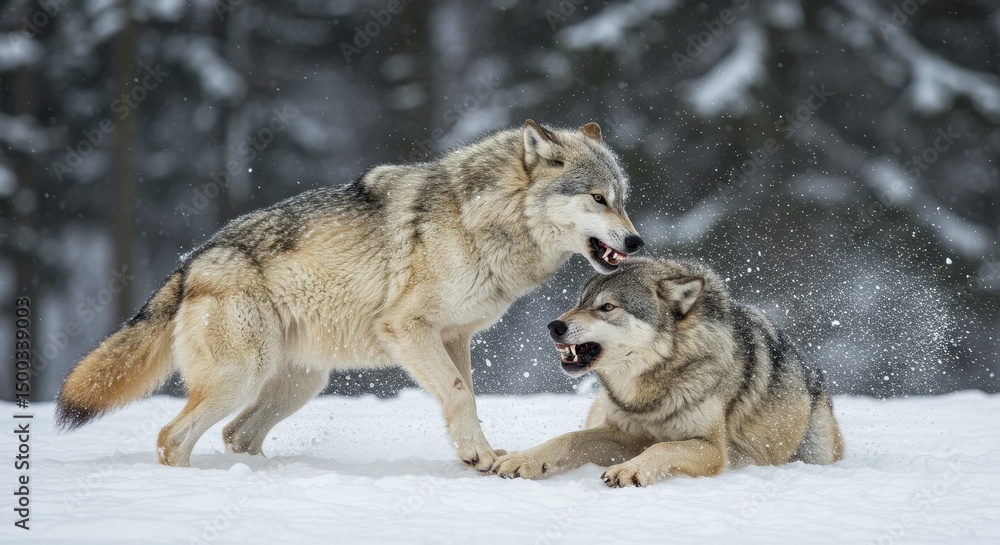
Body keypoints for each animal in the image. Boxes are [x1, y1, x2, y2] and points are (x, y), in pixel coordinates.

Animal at [56, 120, 644, 470]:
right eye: (598, 198)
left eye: (623, 199)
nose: (637, 241)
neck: (483, 219)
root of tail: (190, 262)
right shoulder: (407, 328)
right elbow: (457, 394)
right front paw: (478, 458)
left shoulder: (454, 337)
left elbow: (467, 397)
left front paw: (474, 453)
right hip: (241, 376)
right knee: (171, 437)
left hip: (300, 385)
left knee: (235, 435)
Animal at [491, 257, 844, 486]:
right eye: (580, 301)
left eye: (607, 307)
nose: (553, 326)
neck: (653, 386)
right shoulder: (623, 435)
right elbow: (566, 438)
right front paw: (523, 460)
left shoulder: (712, 449)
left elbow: (662, 446)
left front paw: (630, 471)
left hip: (815, 448)